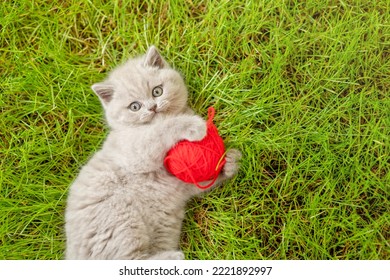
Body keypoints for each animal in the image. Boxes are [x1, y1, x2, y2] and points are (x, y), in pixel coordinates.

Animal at [64, 46, 241, 260]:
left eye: (157, 91)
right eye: (135, 106)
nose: (153, 107)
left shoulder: (183, 185)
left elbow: (204, 181)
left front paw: (229, 162)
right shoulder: (136, 152)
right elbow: (161, 131)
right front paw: (193, 125)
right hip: (119, 221)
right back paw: (174, 256)